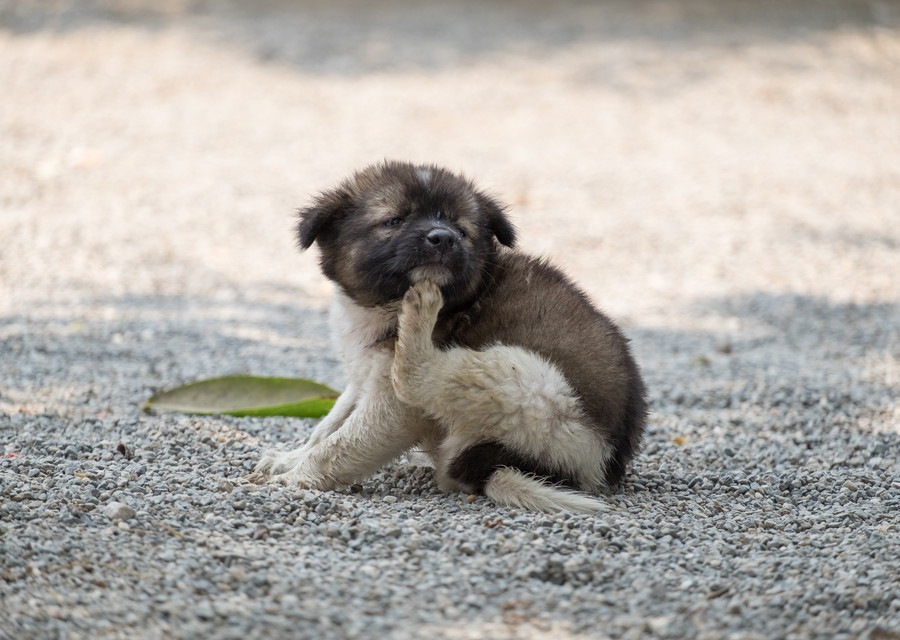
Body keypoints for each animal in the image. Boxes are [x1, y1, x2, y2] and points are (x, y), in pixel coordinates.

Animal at [253, 162, 648, 512]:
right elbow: (329, 425)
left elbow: (341, 444)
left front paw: (294, 478)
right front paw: (289, 459)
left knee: (419, 378)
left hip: (527, 383)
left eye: (460, 227)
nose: (443, 238)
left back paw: (421, 312)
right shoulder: (364, 374)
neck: (381, 306)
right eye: (394, 220)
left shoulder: (394, 406)